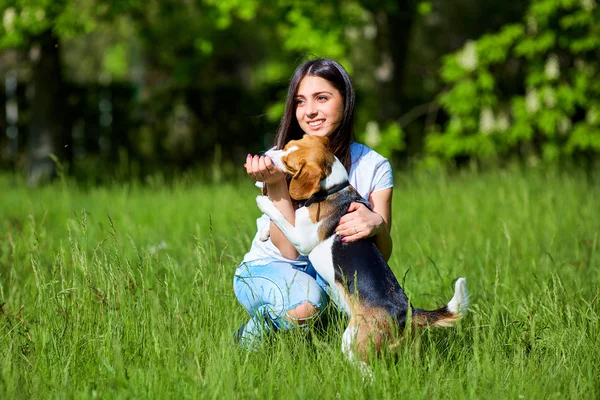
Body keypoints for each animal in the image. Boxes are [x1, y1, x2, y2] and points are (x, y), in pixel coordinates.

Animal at [253, 134, 468, 362]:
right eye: (285, 147)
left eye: (288, 163)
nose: (266, 155)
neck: (332, 189)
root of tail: (406, 312)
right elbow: (285, 218)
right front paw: (264, 233)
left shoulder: (303, 240)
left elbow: (281, 217)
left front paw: (264, 202)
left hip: (353, 339)